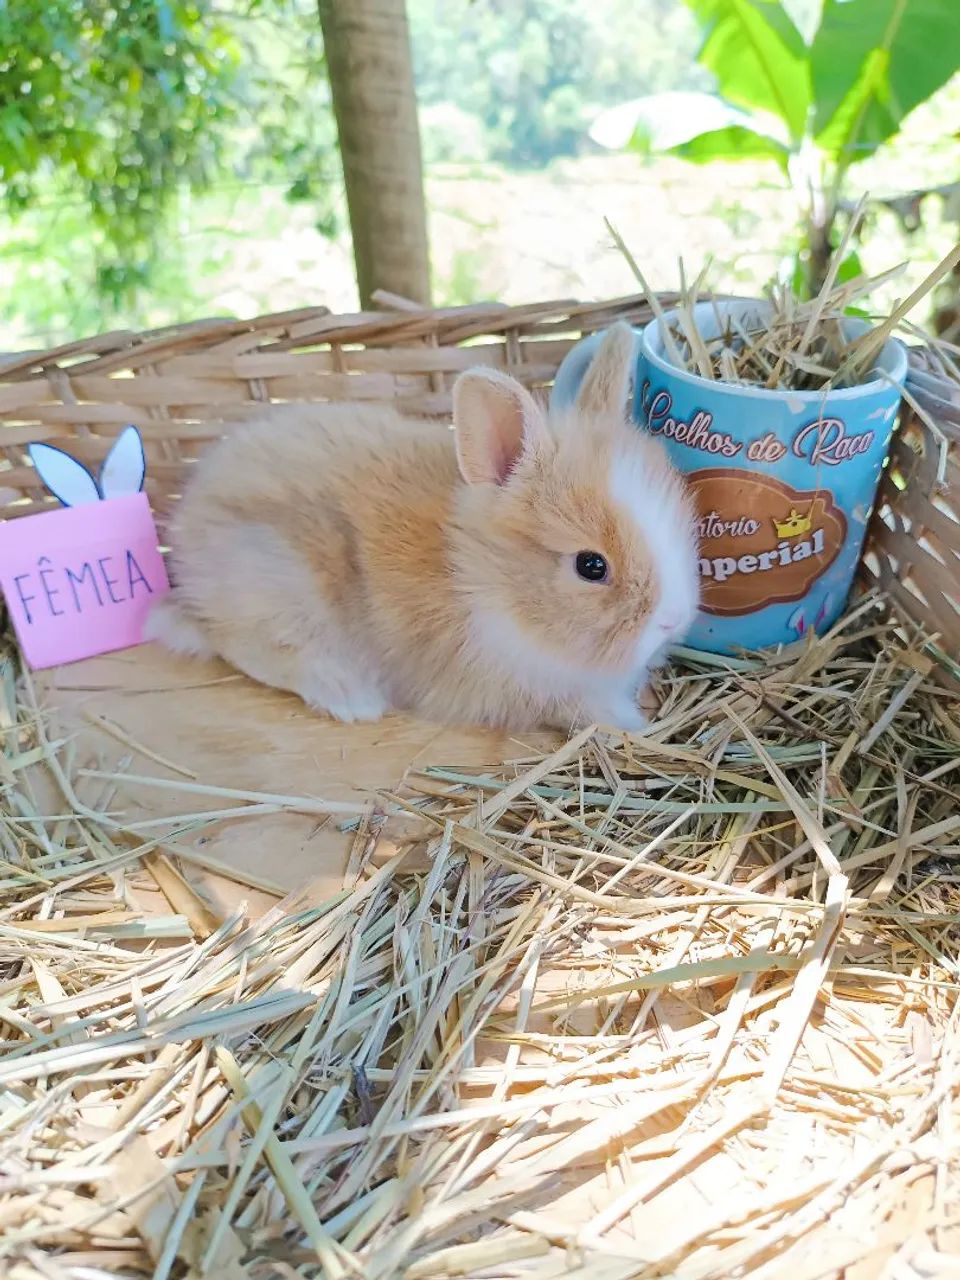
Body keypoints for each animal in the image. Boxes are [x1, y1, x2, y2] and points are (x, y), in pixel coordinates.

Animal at [145, 322, 700, 731]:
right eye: (591, 566)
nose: (673, 620)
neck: (482, 578)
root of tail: (186, 552)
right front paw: (632, 721)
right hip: (282, 582)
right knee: (243, 645)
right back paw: (351, 697)